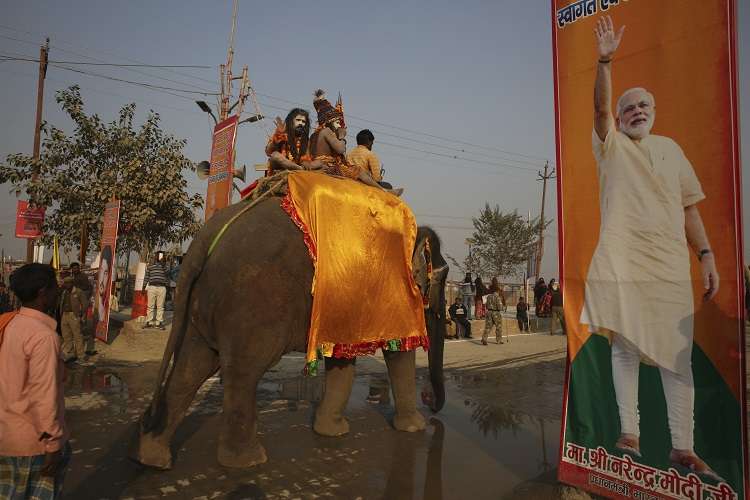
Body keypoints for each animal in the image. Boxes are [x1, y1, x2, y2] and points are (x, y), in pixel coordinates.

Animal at [130, 195, 450, 468]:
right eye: (440, 278)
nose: (430, 402)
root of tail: (204, 238)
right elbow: (400, 352)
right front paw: (414, 427)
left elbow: (343, 359)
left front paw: (332, 431)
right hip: (253, 302)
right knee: (244, 369)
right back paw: (248, 461)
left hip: (203, 303)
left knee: (192, 365)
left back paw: (152, 456)